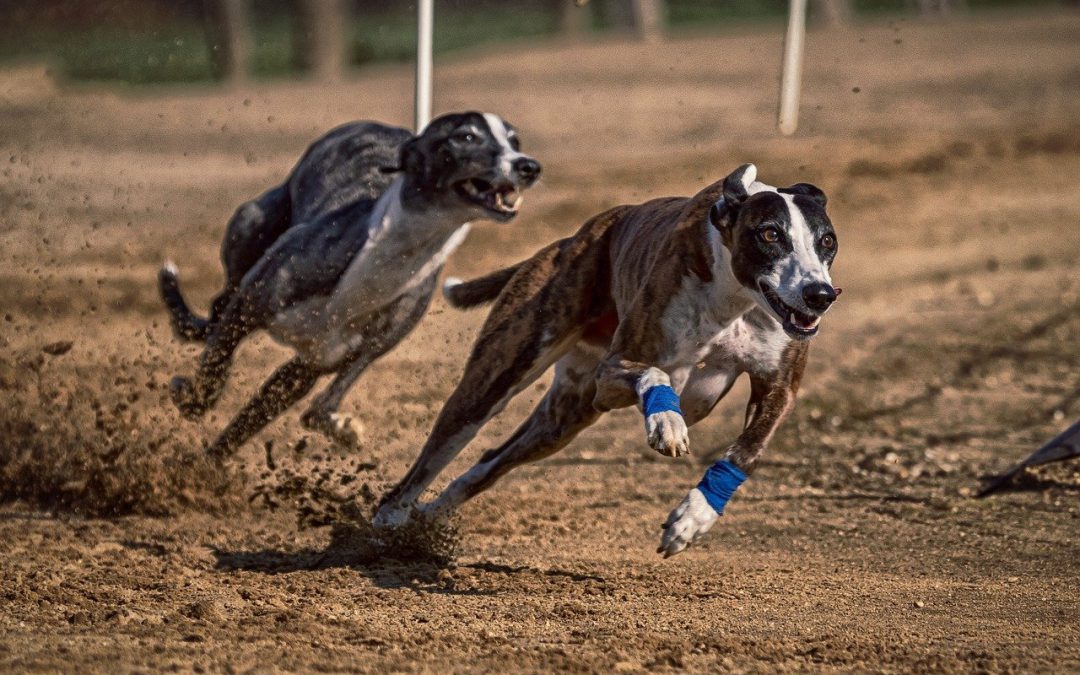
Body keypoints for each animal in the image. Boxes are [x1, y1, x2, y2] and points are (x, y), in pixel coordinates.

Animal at [157, 111, 540, 457]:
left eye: (515, 141)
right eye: (466, 136)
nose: (529, 166)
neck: (387, 256)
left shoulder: (314, 365)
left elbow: (264, 419)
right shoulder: (248, 308)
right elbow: (213, 373)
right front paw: (190, 400)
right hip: (250, 228)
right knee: (216, 310)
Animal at [375, 162, 838, 552]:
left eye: (827, 241)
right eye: (770, 234)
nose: (821, 294)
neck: (737, 298)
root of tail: (569, 241)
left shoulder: (778, 386)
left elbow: (747, 449)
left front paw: (694, 517)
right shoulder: (611, 373)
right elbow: (655, 375)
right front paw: (666, 423)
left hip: (563, 418)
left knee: (489, 463)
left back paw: (429, 518)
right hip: (499, 377)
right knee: (439, 448)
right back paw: (390, 518)